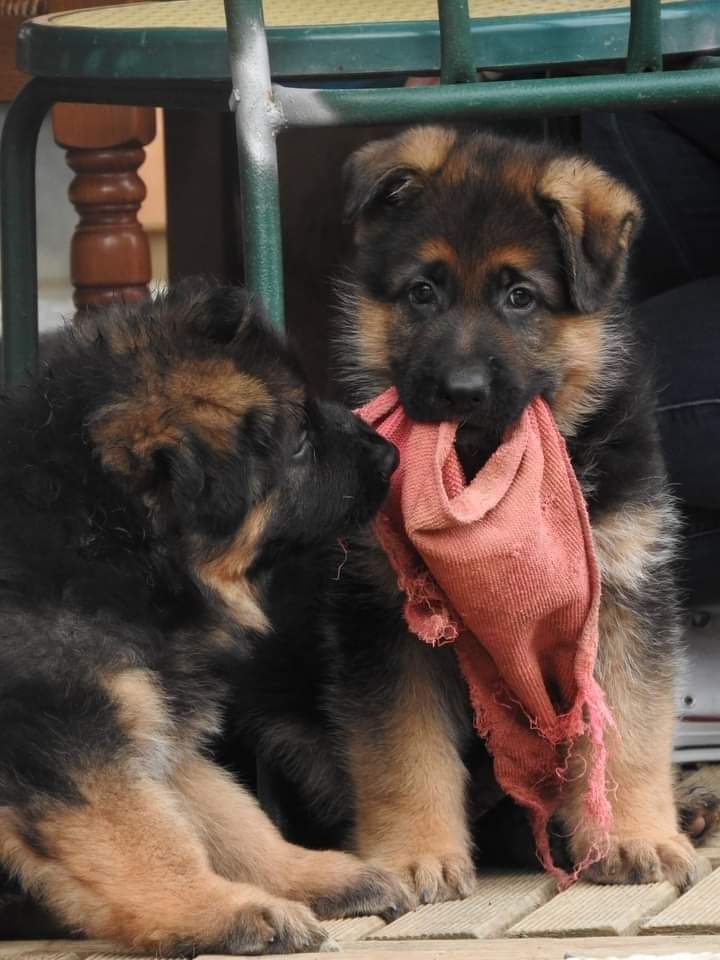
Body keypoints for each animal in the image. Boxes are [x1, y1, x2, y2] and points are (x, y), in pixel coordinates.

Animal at [0, 282, 408, 956]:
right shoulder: (69, 741)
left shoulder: (161, 732)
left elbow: (230, 817)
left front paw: (313, 876)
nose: (392, 455)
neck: (105, 541)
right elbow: (149, 839)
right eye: (300, 440)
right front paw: (225, 911)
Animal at [324, 127, 696, 900]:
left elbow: (627, 730)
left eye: (521, 298)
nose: (462, 391)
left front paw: (633, 837)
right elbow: (400, 747)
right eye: (423, 292)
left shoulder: (623, 593)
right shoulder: (386, 621)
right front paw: (415, 853)